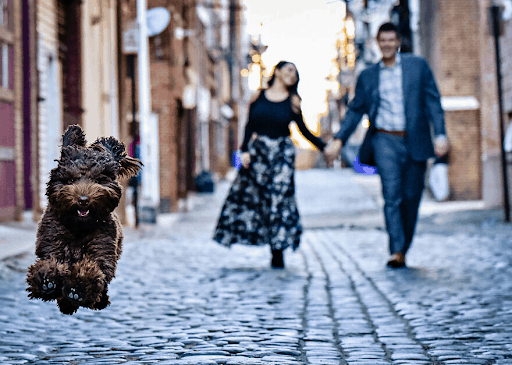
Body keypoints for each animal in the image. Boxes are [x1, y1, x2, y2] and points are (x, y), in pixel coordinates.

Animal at [26, 125, 142, 312]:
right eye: (71, 179)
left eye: (98, 179)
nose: (83, 199)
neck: (78, 227)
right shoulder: (53, 243)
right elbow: (50, 261)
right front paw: (47, 281)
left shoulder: (101, 250)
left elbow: (91, 269)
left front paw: (77, 288)